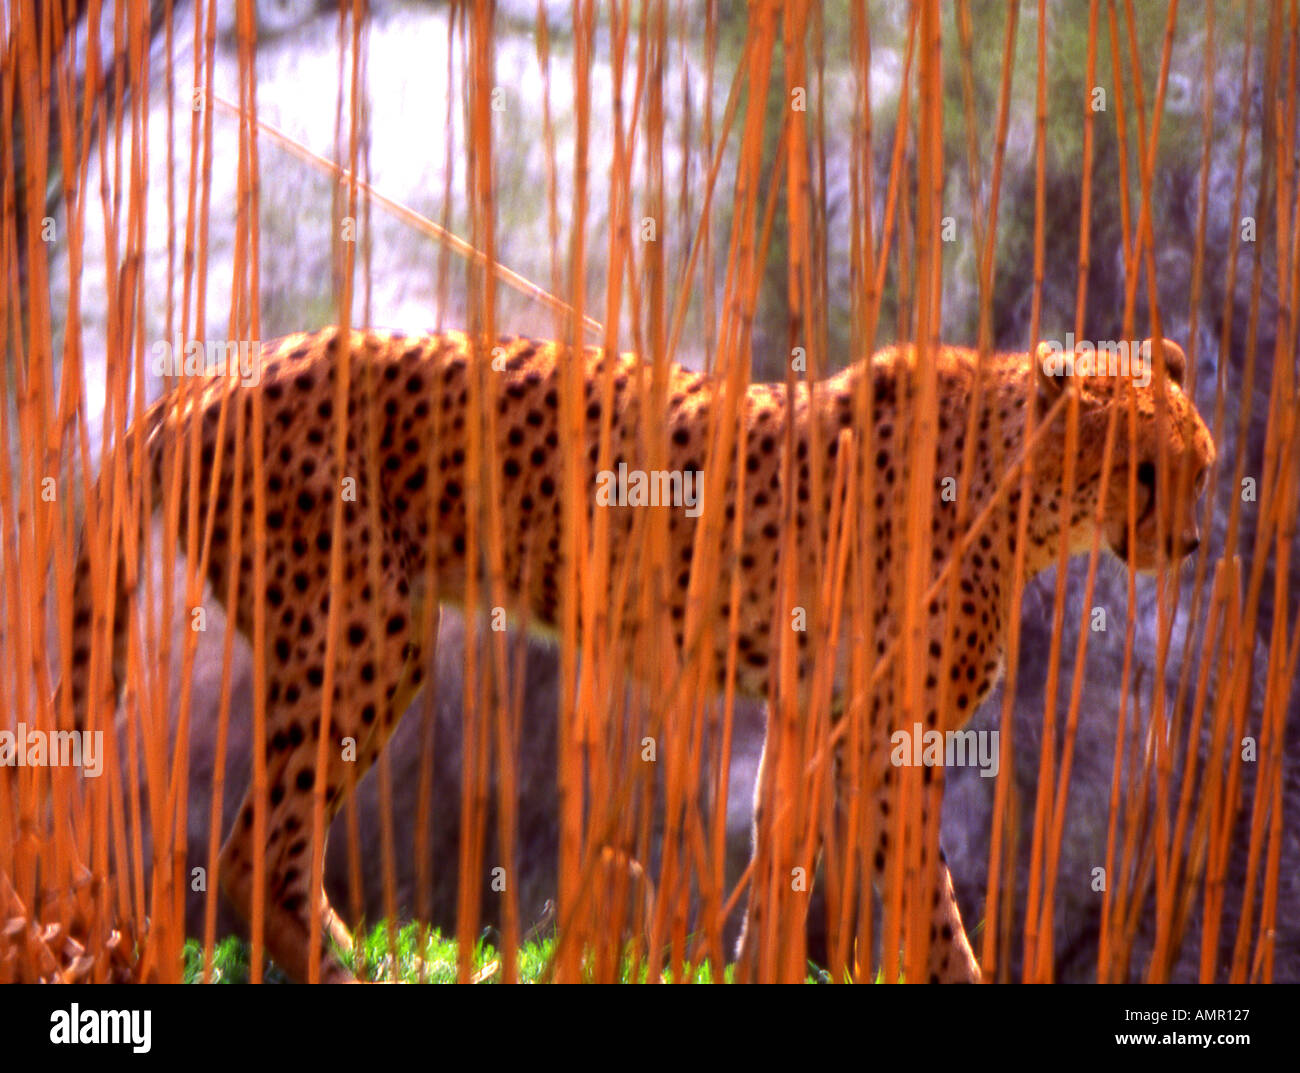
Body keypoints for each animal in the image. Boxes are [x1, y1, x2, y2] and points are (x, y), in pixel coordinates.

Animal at [63, 326, 1216, 978]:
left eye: (1198, 468)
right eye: (1142, 469)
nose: (1194, 540)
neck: (1014, 483)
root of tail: (216, 369)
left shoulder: (813, 718)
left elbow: (779, 876)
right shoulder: (888, 741)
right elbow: (926, 905)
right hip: (363, 631)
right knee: (256, 843)